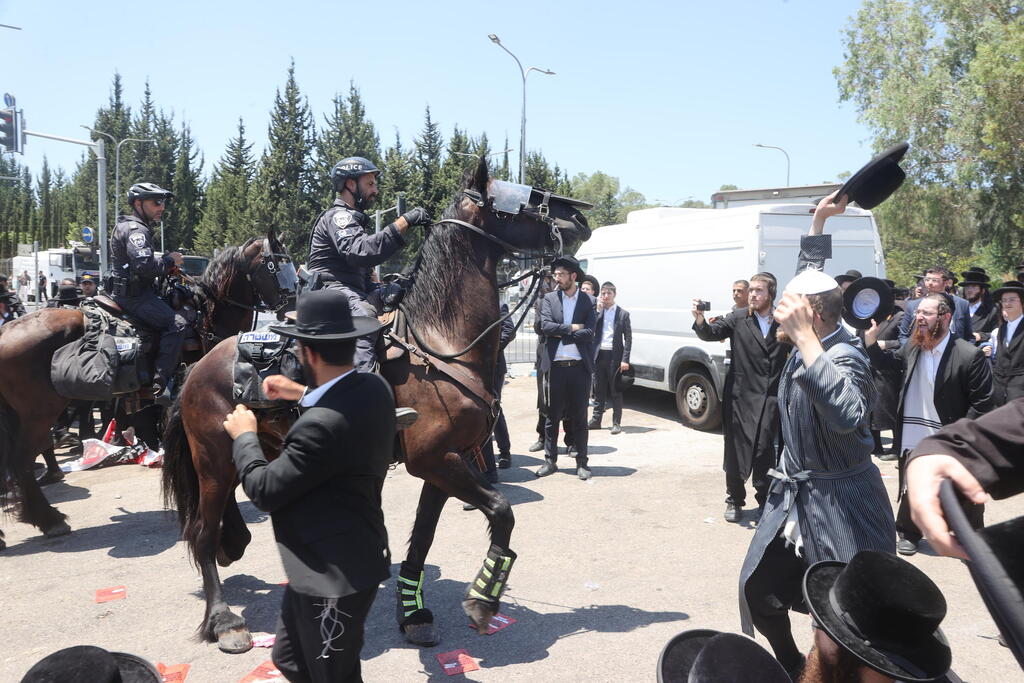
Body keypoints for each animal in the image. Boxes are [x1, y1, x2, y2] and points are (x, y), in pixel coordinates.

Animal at [0, 232, 296, 552]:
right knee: (22, 459)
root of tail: (6, 331)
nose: (293, 305)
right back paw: (48, 519)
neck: (206, 316)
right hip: (39, 412)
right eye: (274, 265)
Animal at [159, 157, 593, 655]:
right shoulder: (433, 459)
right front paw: (483, 600)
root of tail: (200, 365)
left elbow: (422, 540)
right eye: (518, 198)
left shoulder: (445, 461)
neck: (442, 342)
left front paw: (413, 612)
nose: (578, 219)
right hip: (212, 461)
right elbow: (502, 511)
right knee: (202, 533)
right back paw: (224, 619)